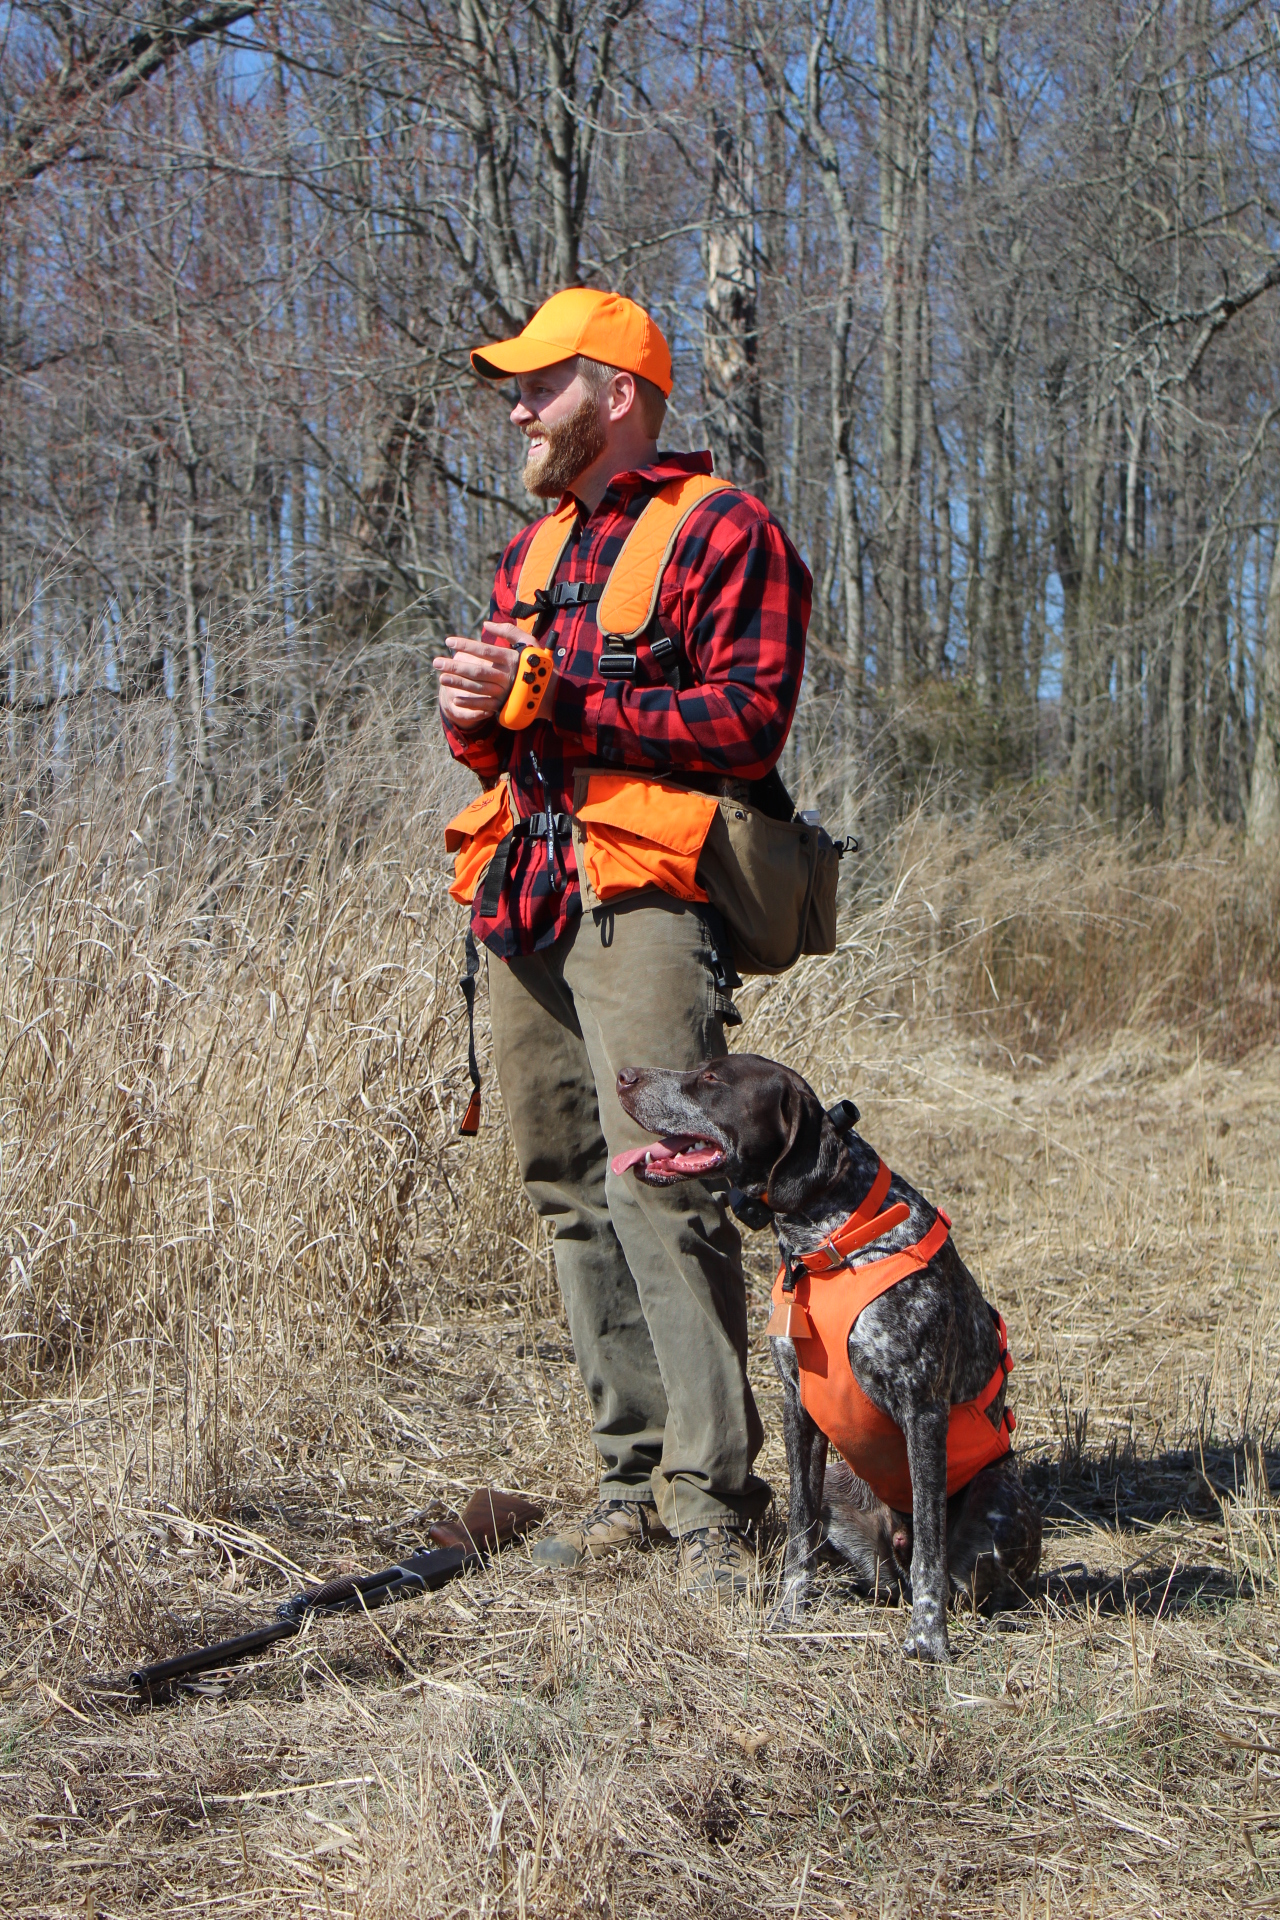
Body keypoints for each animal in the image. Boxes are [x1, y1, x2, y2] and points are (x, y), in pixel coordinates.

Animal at [612, 1052, 1041, 1662]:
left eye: (713, 1078)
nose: (623, 1076)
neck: (830, 1243)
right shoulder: (799, 1406)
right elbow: (800, 1527)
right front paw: (788, 1613)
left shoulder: (923, 1411)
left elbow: (931, 1550)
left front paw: (927, 1640)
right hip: (844, 1484)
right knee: (878, 1569)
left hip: (999, 1503)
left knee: (955, 1574)